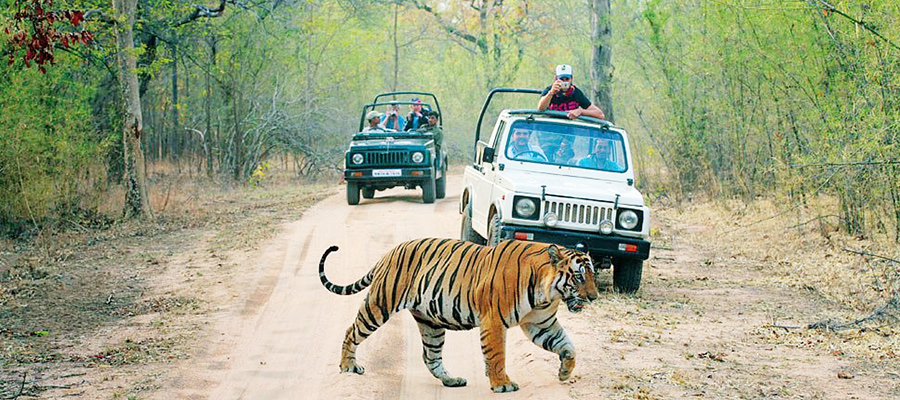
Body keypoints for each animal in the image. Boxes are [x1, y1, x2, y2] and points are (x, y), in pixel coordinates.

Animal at [316, 236, 596, 392]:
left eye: (593, 275)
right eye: (579, 276)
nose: (594, 297)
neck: (546, 293)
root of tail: (390, 251)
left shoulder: (542, 324)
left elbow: (567, 346)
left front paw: (565, 372)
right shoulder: (494, 321)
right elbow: (497, 355)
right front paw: (502, 384)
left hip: (430, 323)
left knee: (430, 356)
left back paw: (452, 380)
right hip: (379, 305)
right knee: (351, 330)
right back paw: (348, 366)